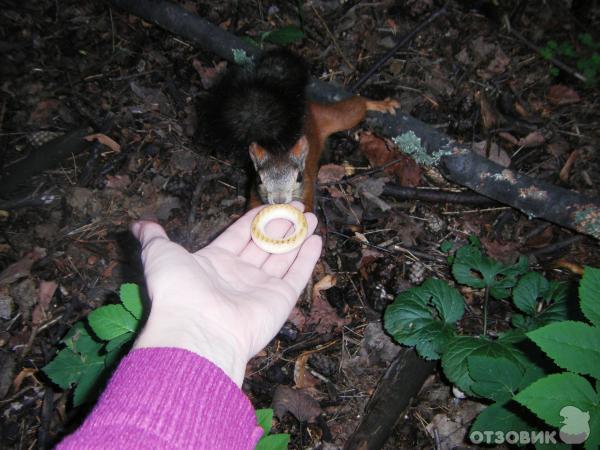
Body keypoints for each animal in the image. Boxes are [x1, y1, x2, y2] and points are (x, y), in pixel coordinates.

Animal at [205, 49, 398, 211]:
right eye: (259, 179)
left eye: (299, 177)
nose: (279, 200)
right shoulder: (254, 196)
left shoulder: (307, 196)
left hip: (334, 117)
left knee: (355, 108)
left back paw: (380, 104)